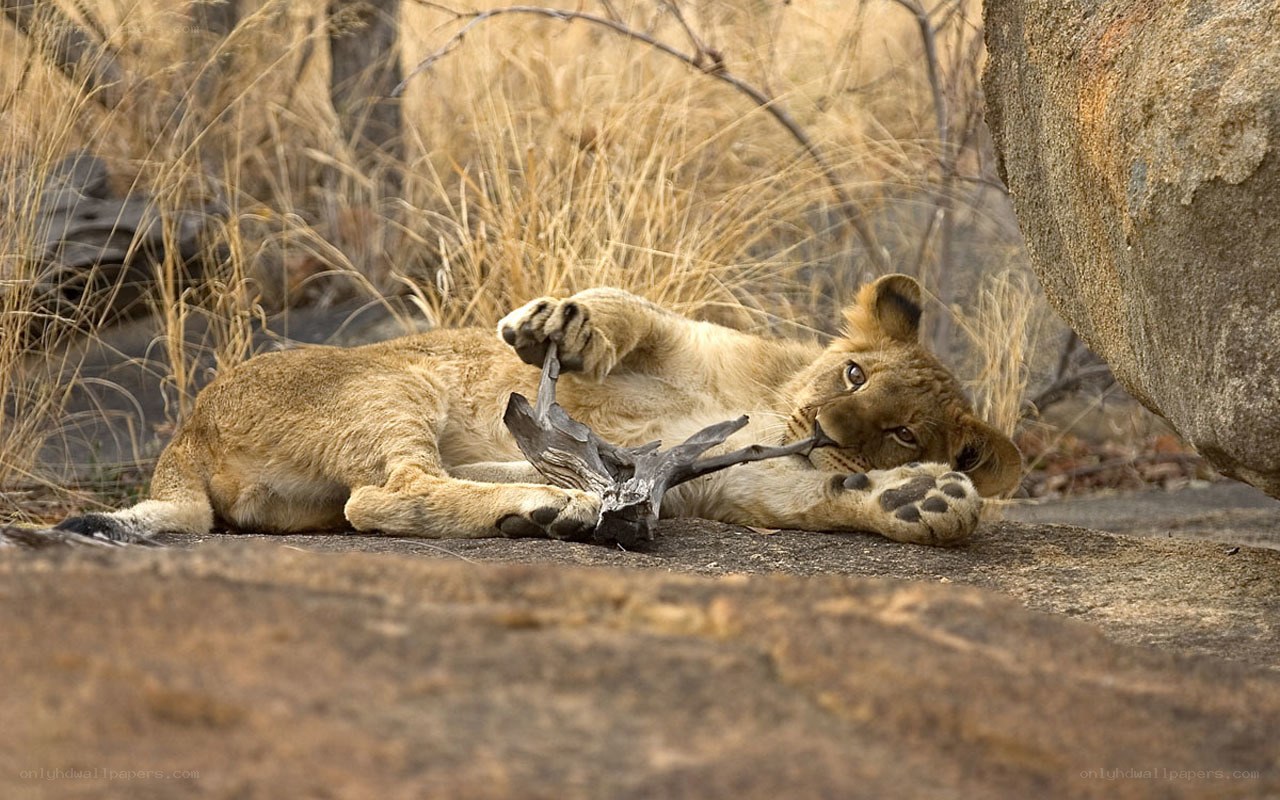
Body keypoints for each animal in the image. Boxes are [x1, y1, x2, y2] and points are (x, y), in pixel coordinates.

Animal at [56, 274, 1021, 546]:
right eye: (854, 372)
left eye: (903, 431)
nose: (827, 429)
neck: (771, 407)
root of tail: (182, 433)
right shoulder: (691, 337)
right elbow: (630, 309)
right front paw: (562, 324)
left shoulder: (749, 484)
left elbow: (830, 496)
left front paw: (921, 498)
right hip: (388, 384)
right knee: (386, 495)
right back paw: (557, 507)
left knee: (387, 497)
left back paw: (554, 505)